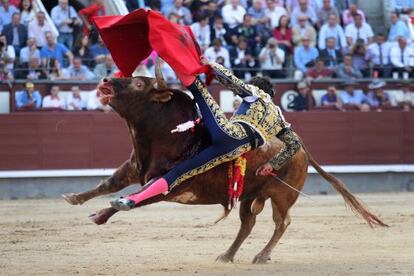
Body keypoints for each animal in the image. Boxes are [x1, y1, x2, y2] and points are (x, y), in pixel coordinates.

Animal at [62, 63, 388, 264]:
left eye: (139, 83)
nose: (105, 80)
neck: (168, 136)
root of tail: (302, 149)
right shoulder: (134, 167)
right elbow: (108, 183)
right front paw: (77, 199)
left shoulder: (169, 185)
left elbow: (136, 195)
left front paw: (107, 212)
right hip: (248, 195)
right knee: (247, 224)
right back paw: (228, 255)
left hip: (282, 196)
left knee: (282, 223)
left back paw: (261, 256)